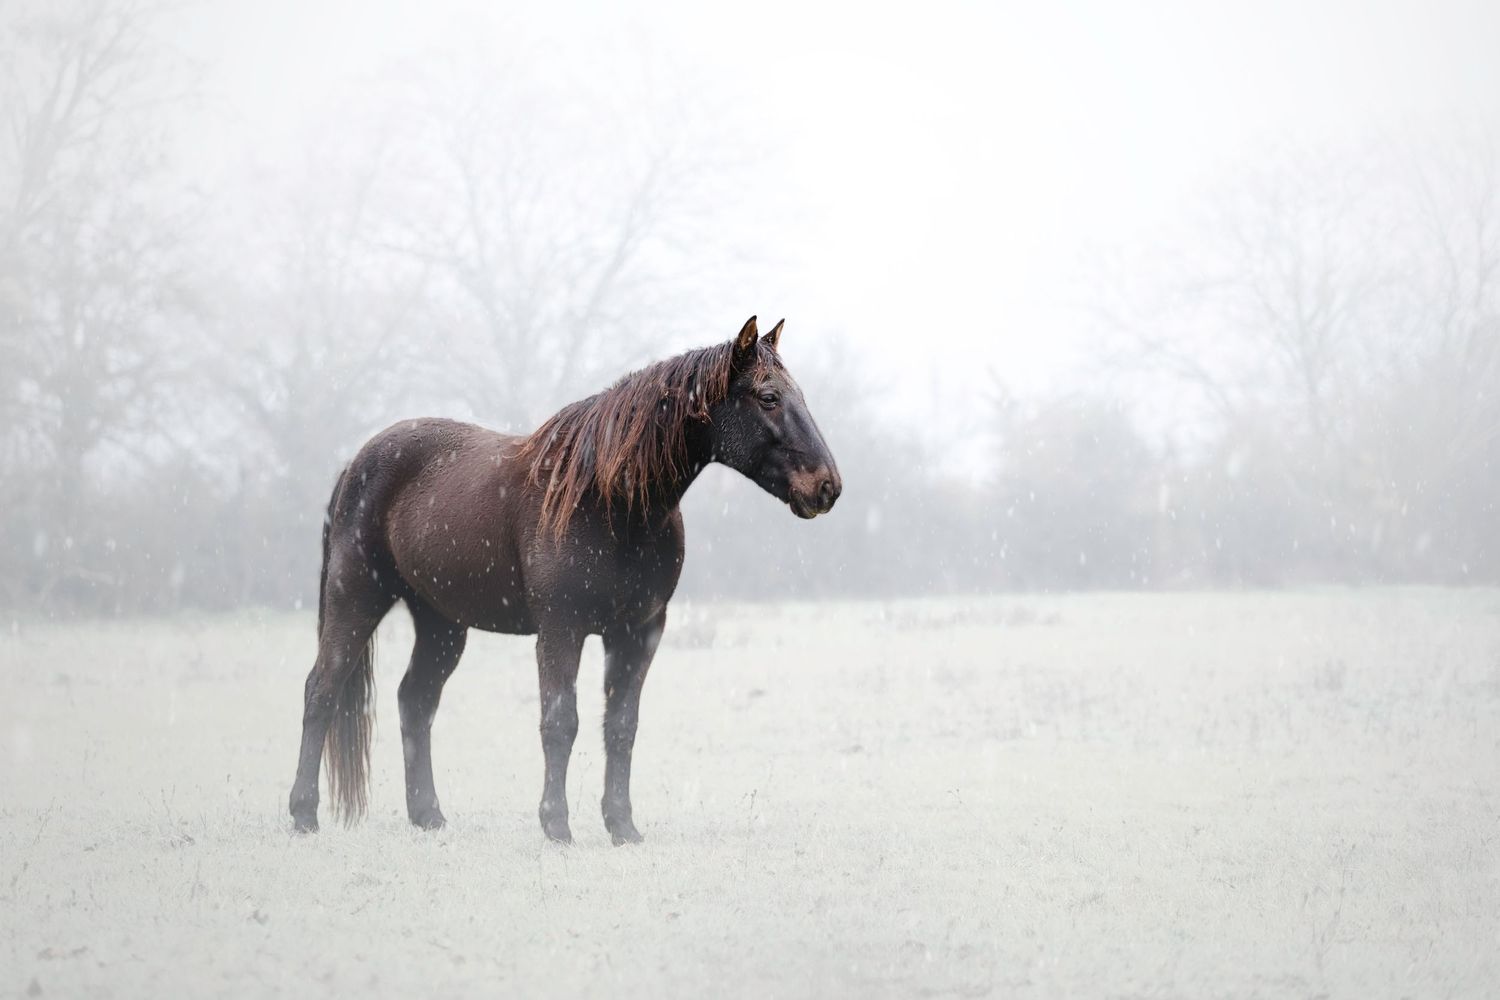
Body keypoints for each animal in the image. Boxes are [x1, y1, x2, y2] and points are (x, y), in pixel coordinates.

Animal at [288, 316, 842, 844]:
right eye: (768, 397)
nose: (828, 486)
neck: (610, 499)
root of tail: (355, 463)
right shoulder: (562, 628)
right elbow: (561, 722)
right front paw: (556, 826)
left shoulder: (638, 633)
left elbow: (621, 727)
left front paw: (622, 826)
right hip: (357, 596)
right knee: (322, 689)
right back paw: (304, 814)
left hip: (441, 623)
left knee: (415, 701)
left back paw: (428, 816)